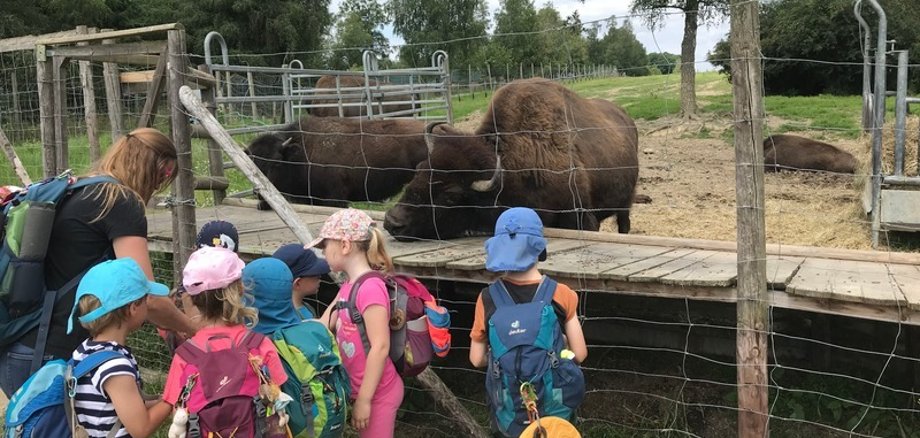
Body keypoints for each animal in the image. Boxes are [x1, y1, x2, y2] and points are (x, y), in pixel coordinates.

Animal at [382, 79, 640, 243]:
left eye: (450, 196)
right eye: (419, 170)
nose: (393, 222)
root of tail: (626, 116)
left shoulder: (581, 217)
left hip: (624, 204)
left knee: (624, 223)